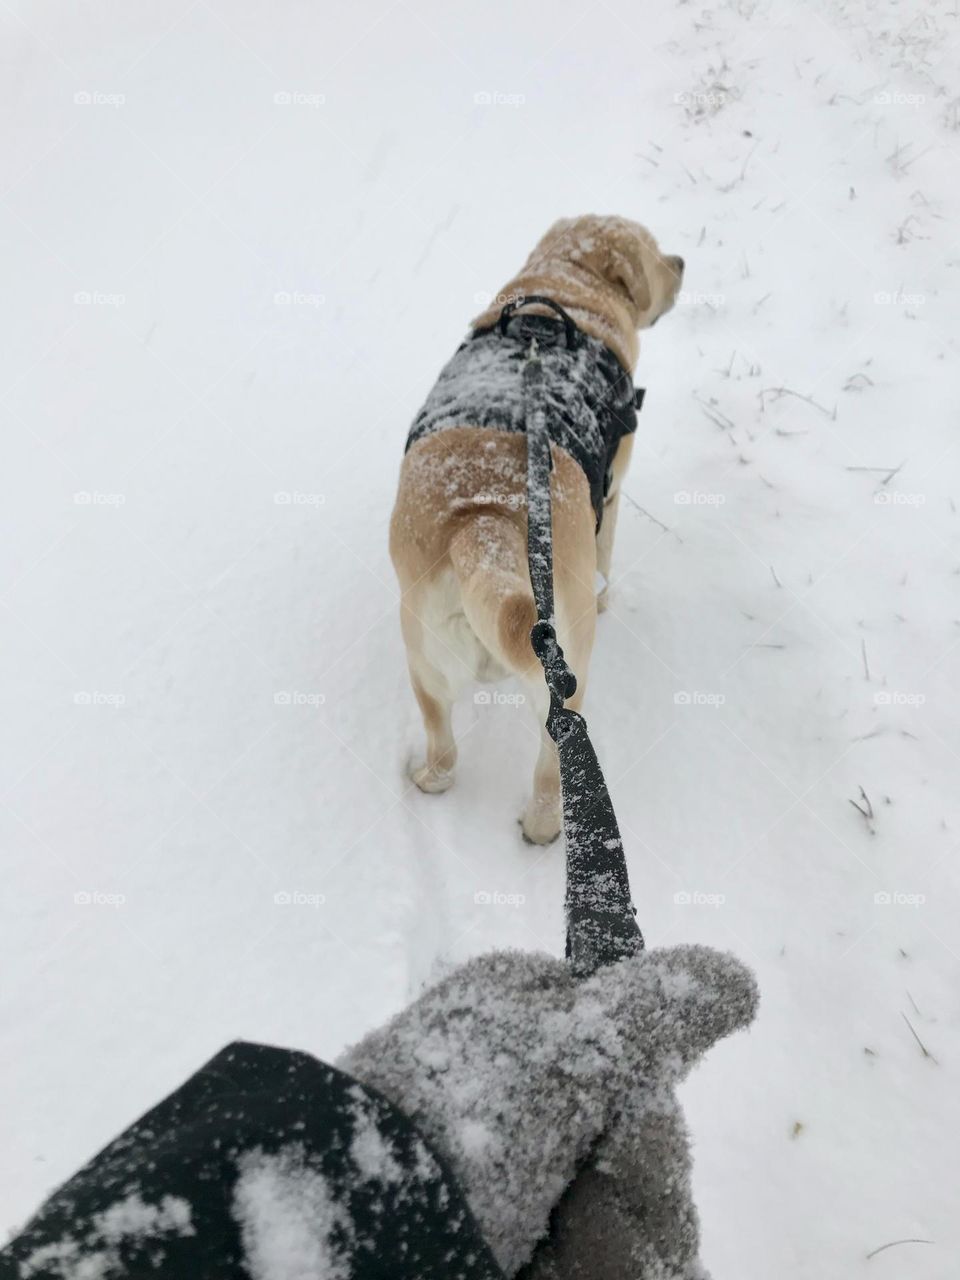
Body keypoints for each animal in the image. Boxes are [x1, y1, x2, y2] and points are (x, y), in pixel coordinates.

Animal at [391, 216, 686, 844]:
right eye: (656, 254)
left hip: (424, 663)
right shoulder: (613, 490)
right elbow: (607, 553)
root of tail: (481, 521)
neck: (564, 291)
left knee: (444, 748)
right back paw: (545, 828)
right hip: (564, 689)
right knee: (553, 769)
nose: (682, 262)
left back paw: (428, 780)